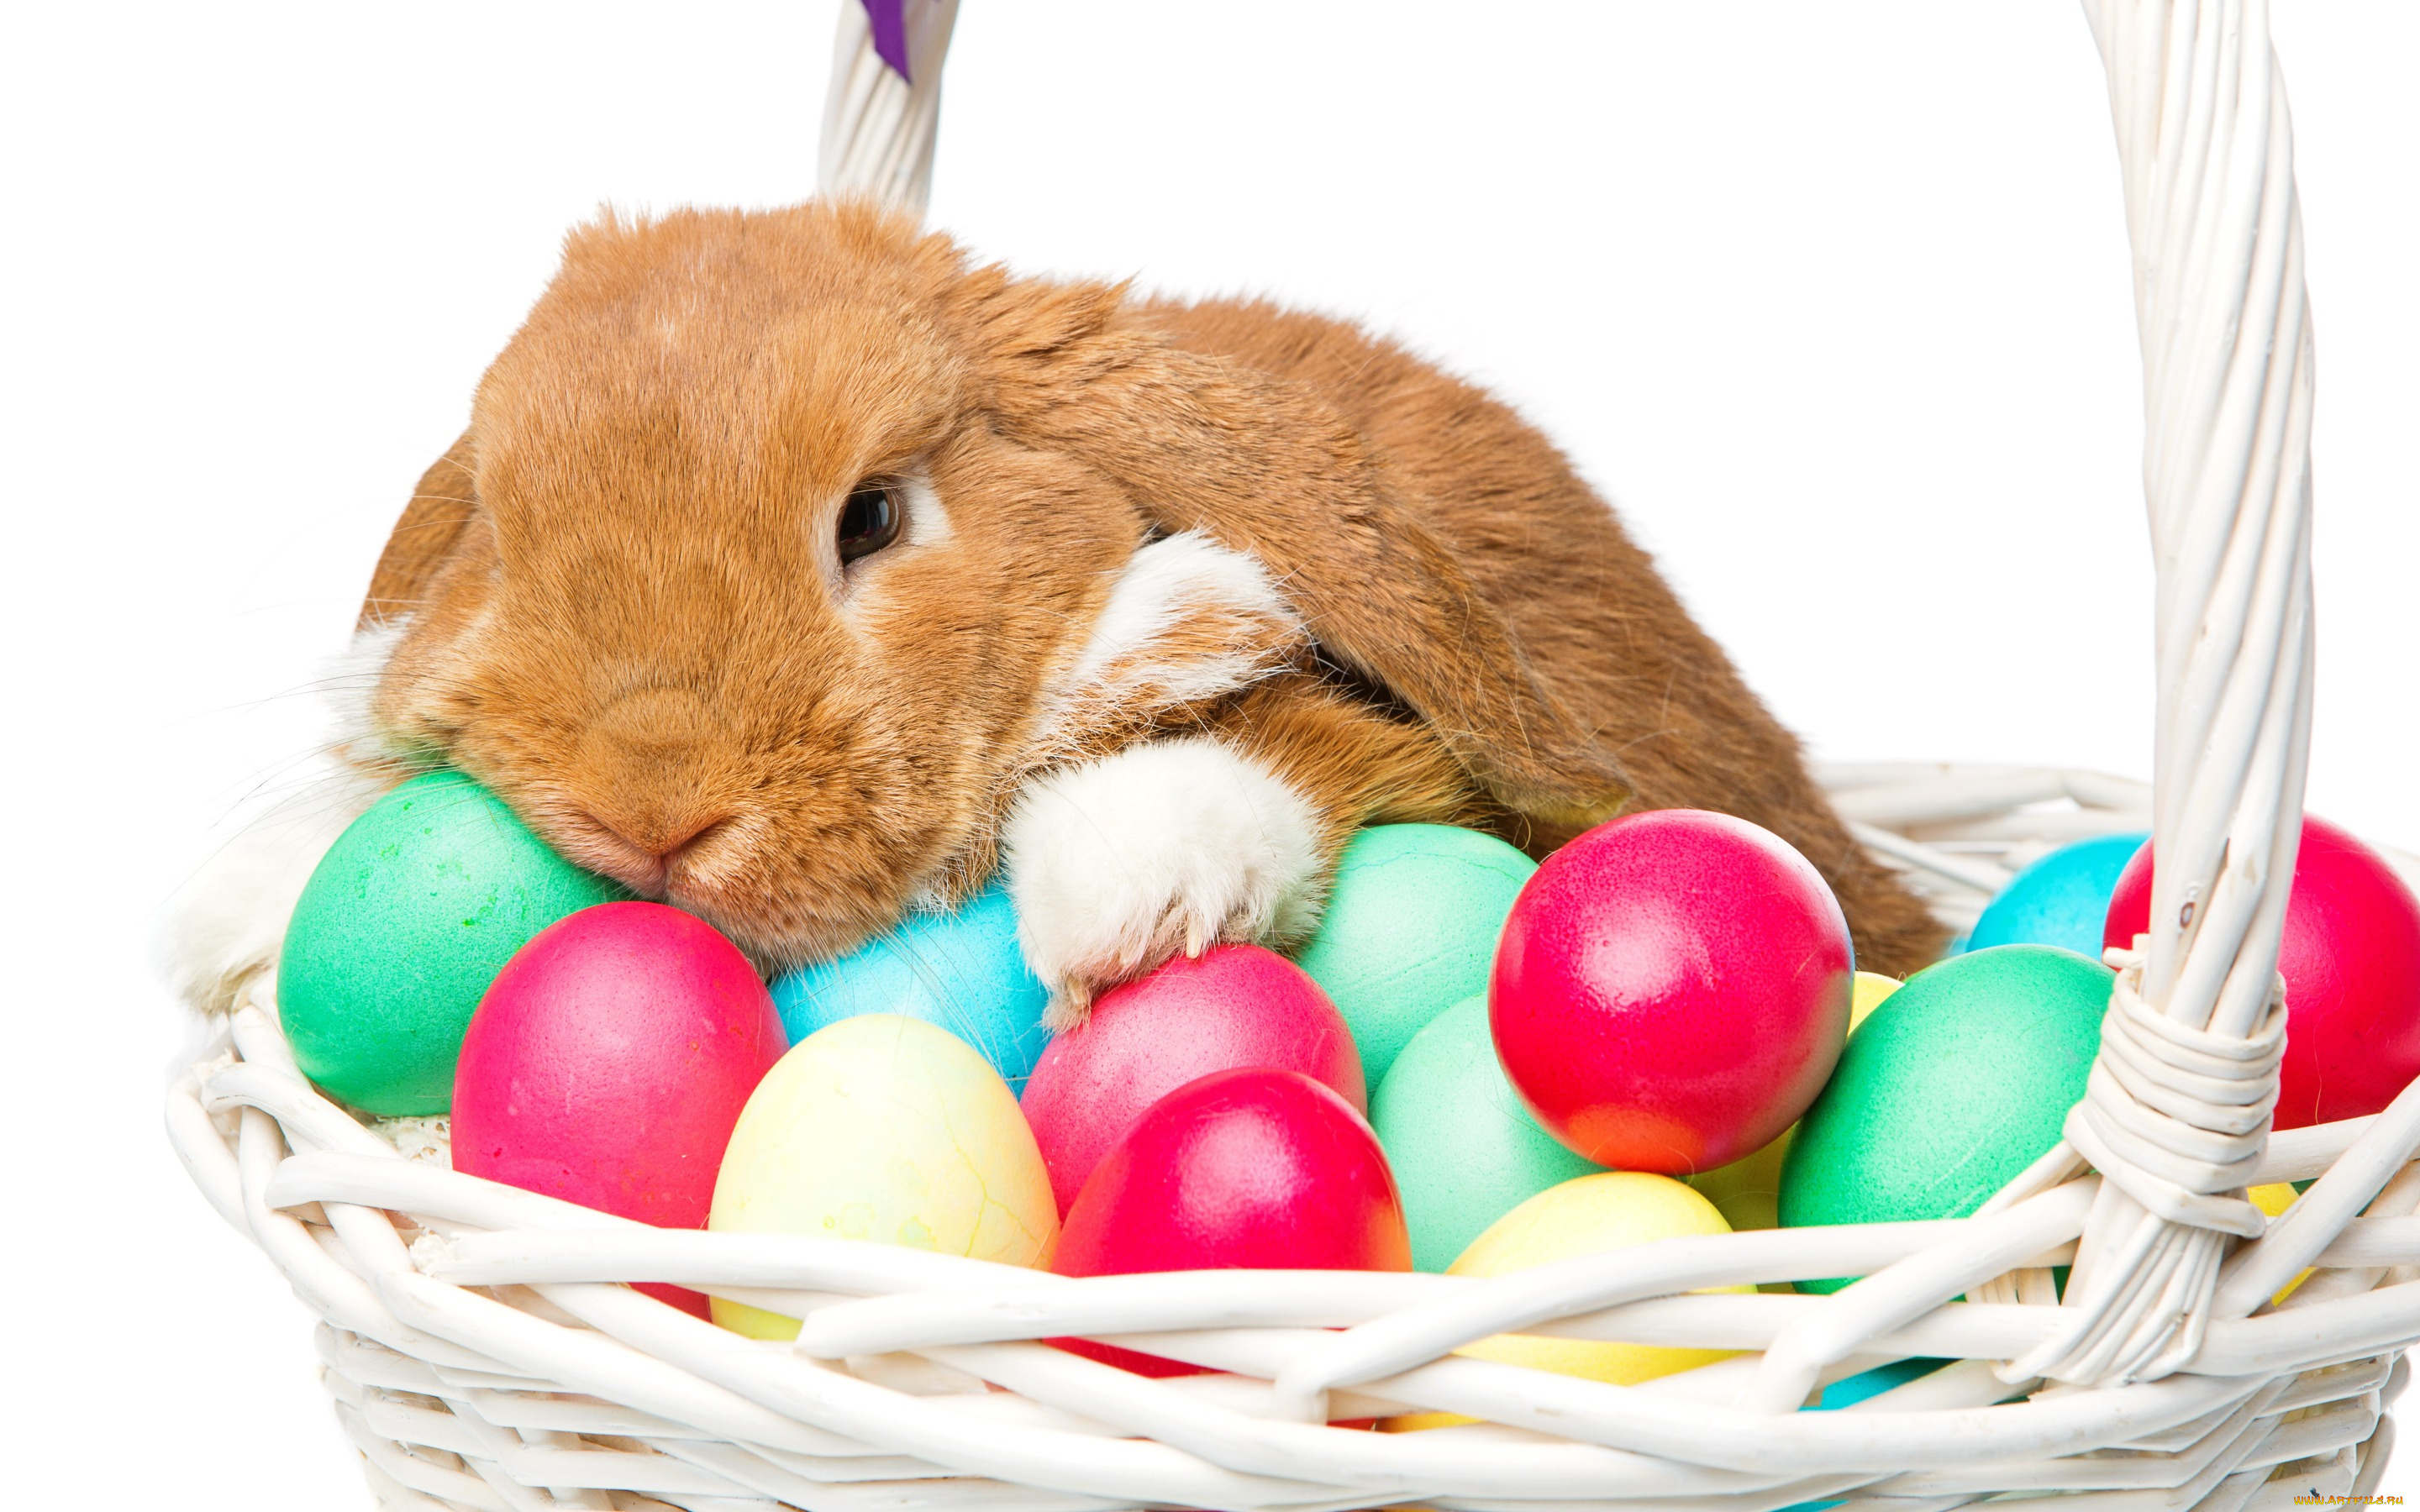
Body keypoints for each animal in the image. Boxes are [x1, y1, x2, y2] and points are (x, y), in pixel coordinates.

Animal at [161, 199, 1941, 1025]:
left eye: (873, 518)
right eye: (503, 532)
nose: (648, 812)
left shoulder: (1409, 756)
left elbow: (1288, 739)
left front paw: (1120, 893)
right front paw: (245, 912)